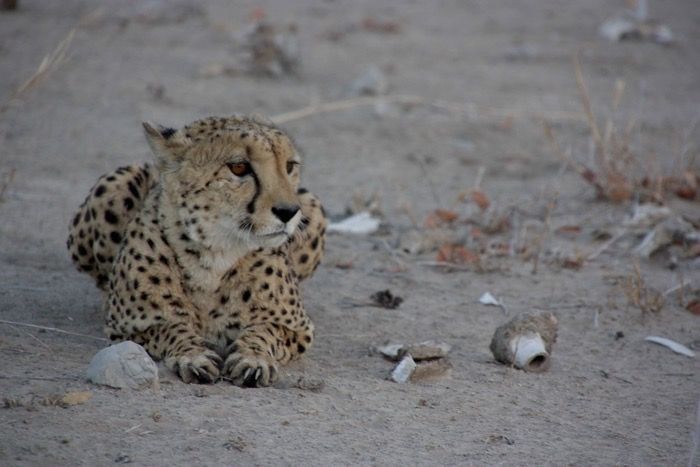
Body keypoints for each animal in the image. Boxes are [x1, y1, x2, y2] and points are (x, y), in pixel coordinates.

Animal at [67, 115, 327, 387]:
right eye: (239, 168)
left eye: (289, 166)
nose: (289, 211)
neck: (213, 253)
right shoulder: (125, 328)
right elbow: (170, 327)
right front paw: (193, 354)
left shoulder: (298, 329)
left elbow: (263, 330)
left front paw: (254, 358)